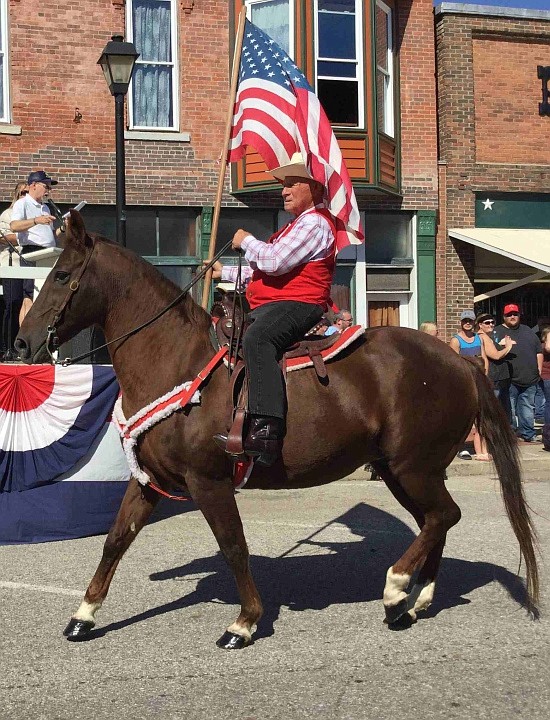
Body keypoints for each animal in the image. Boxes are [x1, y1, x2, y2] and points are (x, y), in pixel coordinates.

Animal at [15, 212, 540, 648]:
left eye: (61, 275)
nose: (21, 343)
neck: (176, 362)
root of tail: (459, 361)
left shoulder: (208, 482)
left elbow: (233, 546)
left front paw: (245, 621)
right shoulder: (148, 481)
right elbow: (115, 540)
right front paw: (84, 615)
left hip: (415, 467)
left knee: (443, 516)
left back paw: (395, 591)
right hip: (402, 471)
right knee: (435, 521)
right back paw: (416, 600)